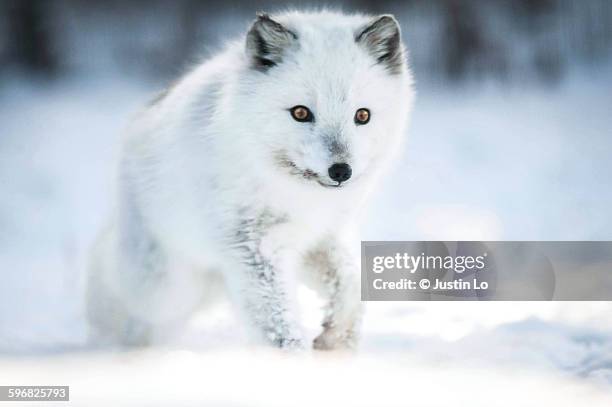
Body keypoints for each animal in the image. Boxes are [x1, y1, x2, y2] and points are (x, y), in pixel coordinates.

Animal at [87, 11, 416, 352]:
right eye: (301, 113)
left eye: (362, 116)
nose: (341, 171)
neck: (293, 193)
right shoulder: (253, 247)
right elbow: (278, 325)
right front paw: (295, 359)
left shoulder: (319, 237)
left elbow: (350, 285)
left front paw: (336, 338)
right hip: (164, 288)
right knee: (115, 285)